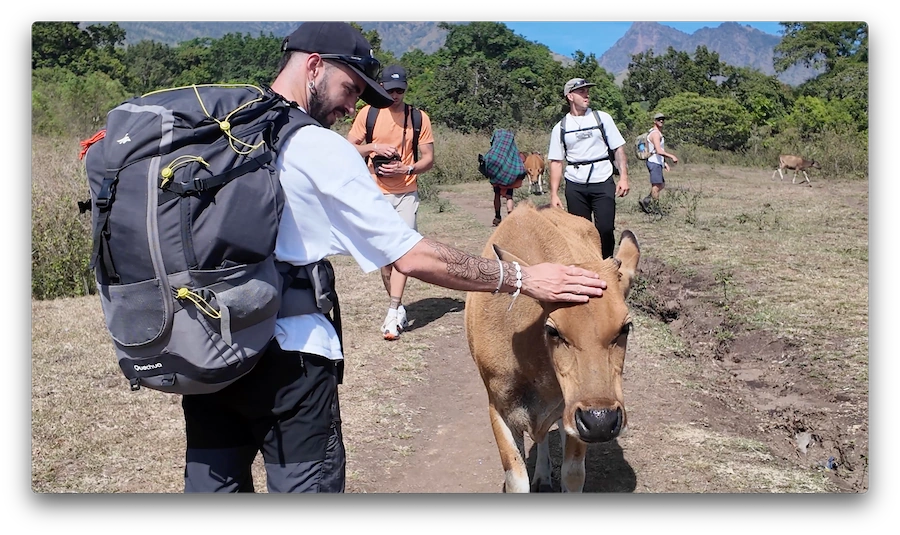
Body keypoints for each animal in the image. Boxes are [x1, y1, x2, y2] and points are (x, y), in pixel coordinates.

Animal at [465, 201, 640, 493]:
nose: (601, 420)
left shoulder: (572, 415)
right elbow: (516, 479)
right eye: (553, 330)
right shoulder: (498, 408)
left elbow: (573, 474)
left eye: (625, 328)